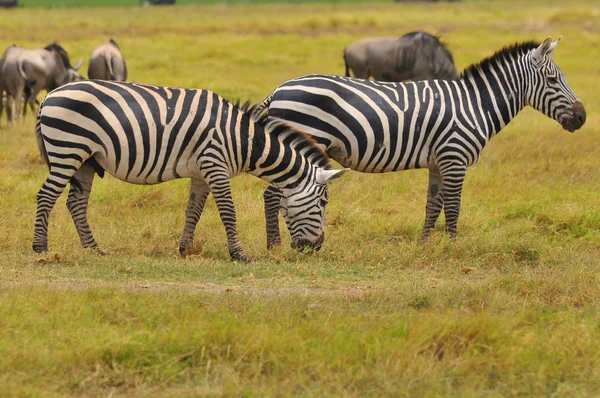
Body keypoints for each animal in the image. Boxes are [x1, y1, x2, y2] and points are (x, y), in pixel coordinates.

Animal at [32, 79, 350, 262]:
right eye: (323, 202)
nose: (316, 247)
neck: (243, 140)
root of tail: (50, 95)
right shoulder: (215, 164)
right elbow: (228, 212)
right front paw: (239, 255)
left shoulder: (201, 172)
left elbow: (193, 211)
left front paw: (185, 248)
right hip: (68, 149)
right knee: (46, 196)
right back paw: (41, 248)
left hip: (86, 159)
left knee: (76, 202)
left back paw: (94, 249)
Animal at [253, 35, 584, 247]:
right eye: (553, 80)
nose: (581, 117)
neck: (475, 104)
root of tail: (279, 89)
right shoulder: (454, 158)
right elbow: (454, 205)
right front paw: (452, 246)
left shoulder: (439, 162)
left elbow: (433, 204)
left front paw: (425, 245)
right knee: (273, 194)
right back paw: (275, 244)